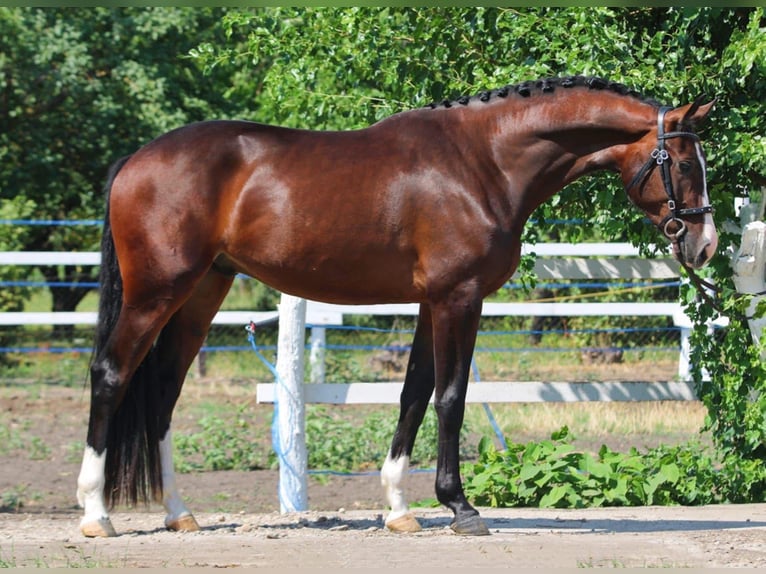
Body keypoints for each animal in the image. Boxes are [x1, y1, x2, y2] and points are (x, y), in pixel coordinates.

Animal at [76, 75, 717, 538]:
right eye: (686, 164)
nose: (705, 244)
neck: (484, 161)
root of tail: (134, 161)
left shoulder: (431, 304)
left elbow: (413, 394)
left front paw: (399, 508)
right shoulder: (459, 299)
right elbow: (452, 397)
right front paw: (460, 508)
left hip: (202, 292)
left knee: (163, 390)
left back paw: (178, 513)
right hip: (158, 292)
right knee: (110, 374)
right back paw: (95, 515)